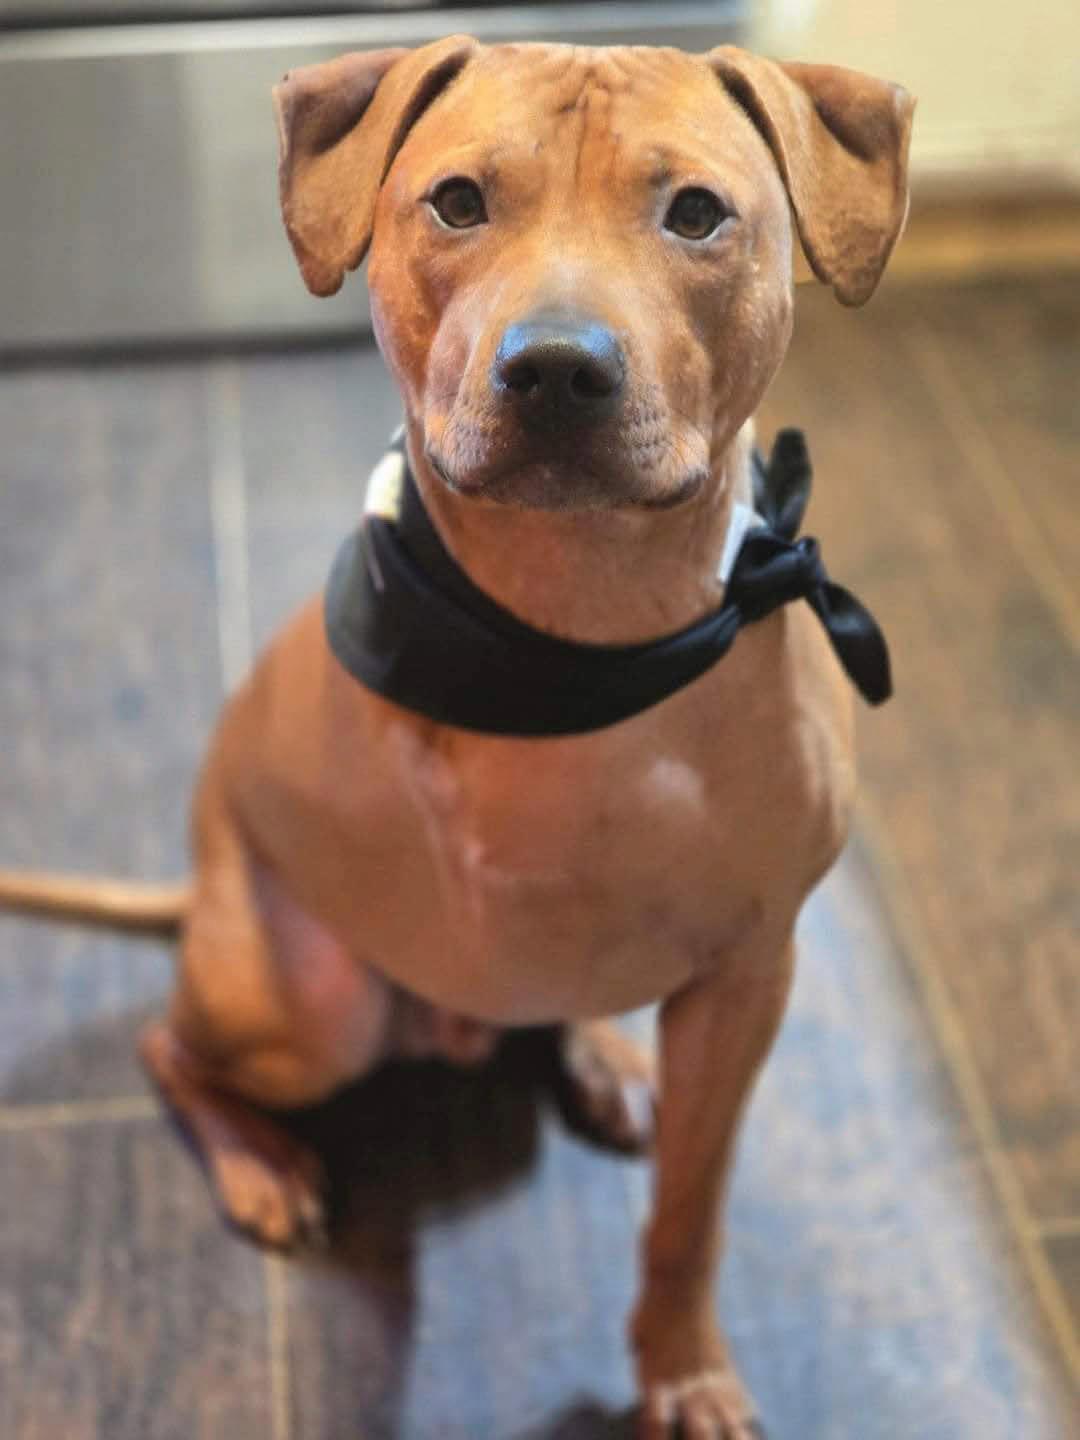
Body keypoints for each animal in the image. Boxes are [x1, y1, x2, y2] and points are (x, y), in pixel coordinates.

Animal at [0, 38, 913, 1439]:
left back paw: (602, 1058)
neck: (597, 625)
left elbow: (689, 1212)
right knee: (173, 1045)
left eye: (698, 214)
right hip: (305, 1003)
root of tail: (200, 896)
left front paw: (684, 1367)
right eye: (458, 202)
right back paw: (261, 1165)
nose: (557, 367)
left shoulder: (748, 979)